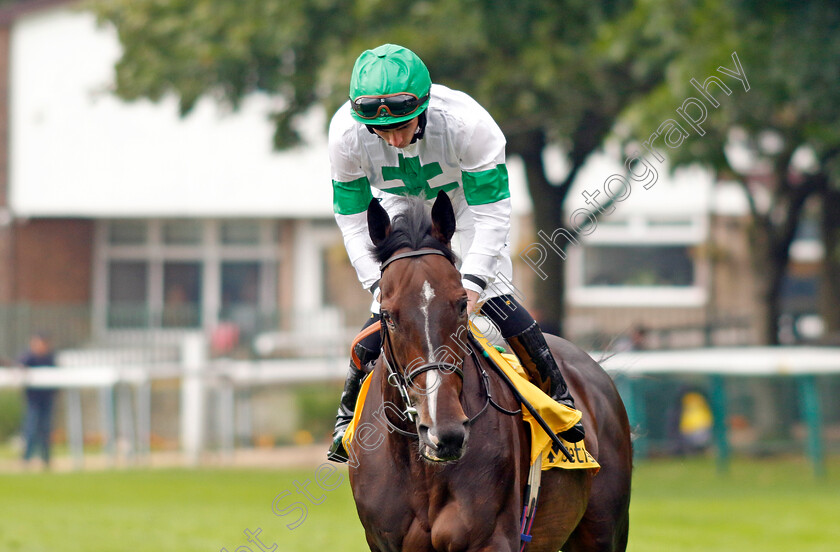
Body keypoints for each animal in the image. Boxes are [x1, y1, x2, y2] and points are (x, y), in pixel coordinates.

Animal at [346, 192, 632, 548]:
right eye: (388, 315)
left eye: (461, 304)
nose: (445, 433)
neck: (422, 469)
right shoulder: (383, 541)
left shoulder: (489, 537)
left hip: (605, 529)